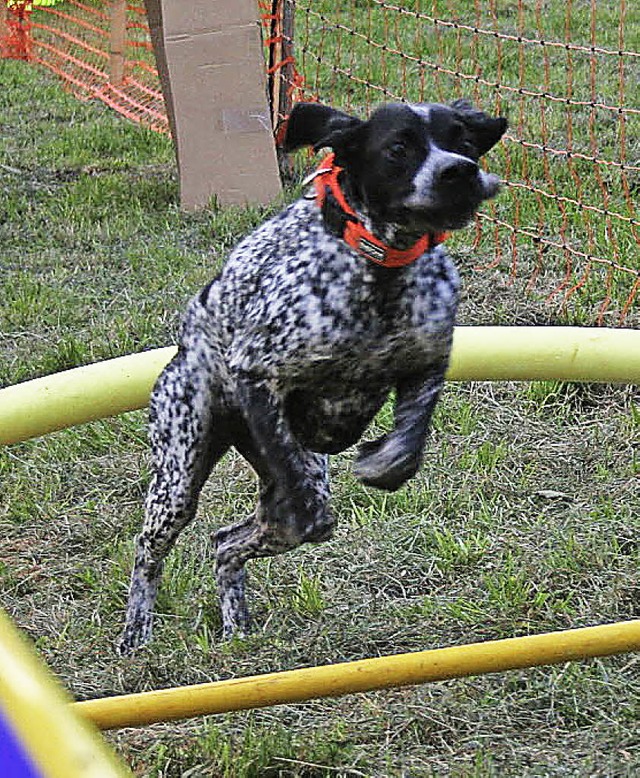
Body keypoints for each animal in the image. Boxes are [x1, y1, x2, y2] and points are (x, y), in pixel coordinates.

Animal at [117, 100, 508, 652]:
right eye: (399, 147)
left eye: (464, 141)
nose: (460, 171)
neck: (379, 270)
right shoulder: (257, 371)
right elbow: (301, 499)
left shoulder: (427, 363)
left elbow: (408, 442)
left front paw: (383, 462)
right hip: (176, 479)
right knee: (151, 554)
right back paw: (136, 632)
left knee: (225, 543)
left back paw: (236, 623)